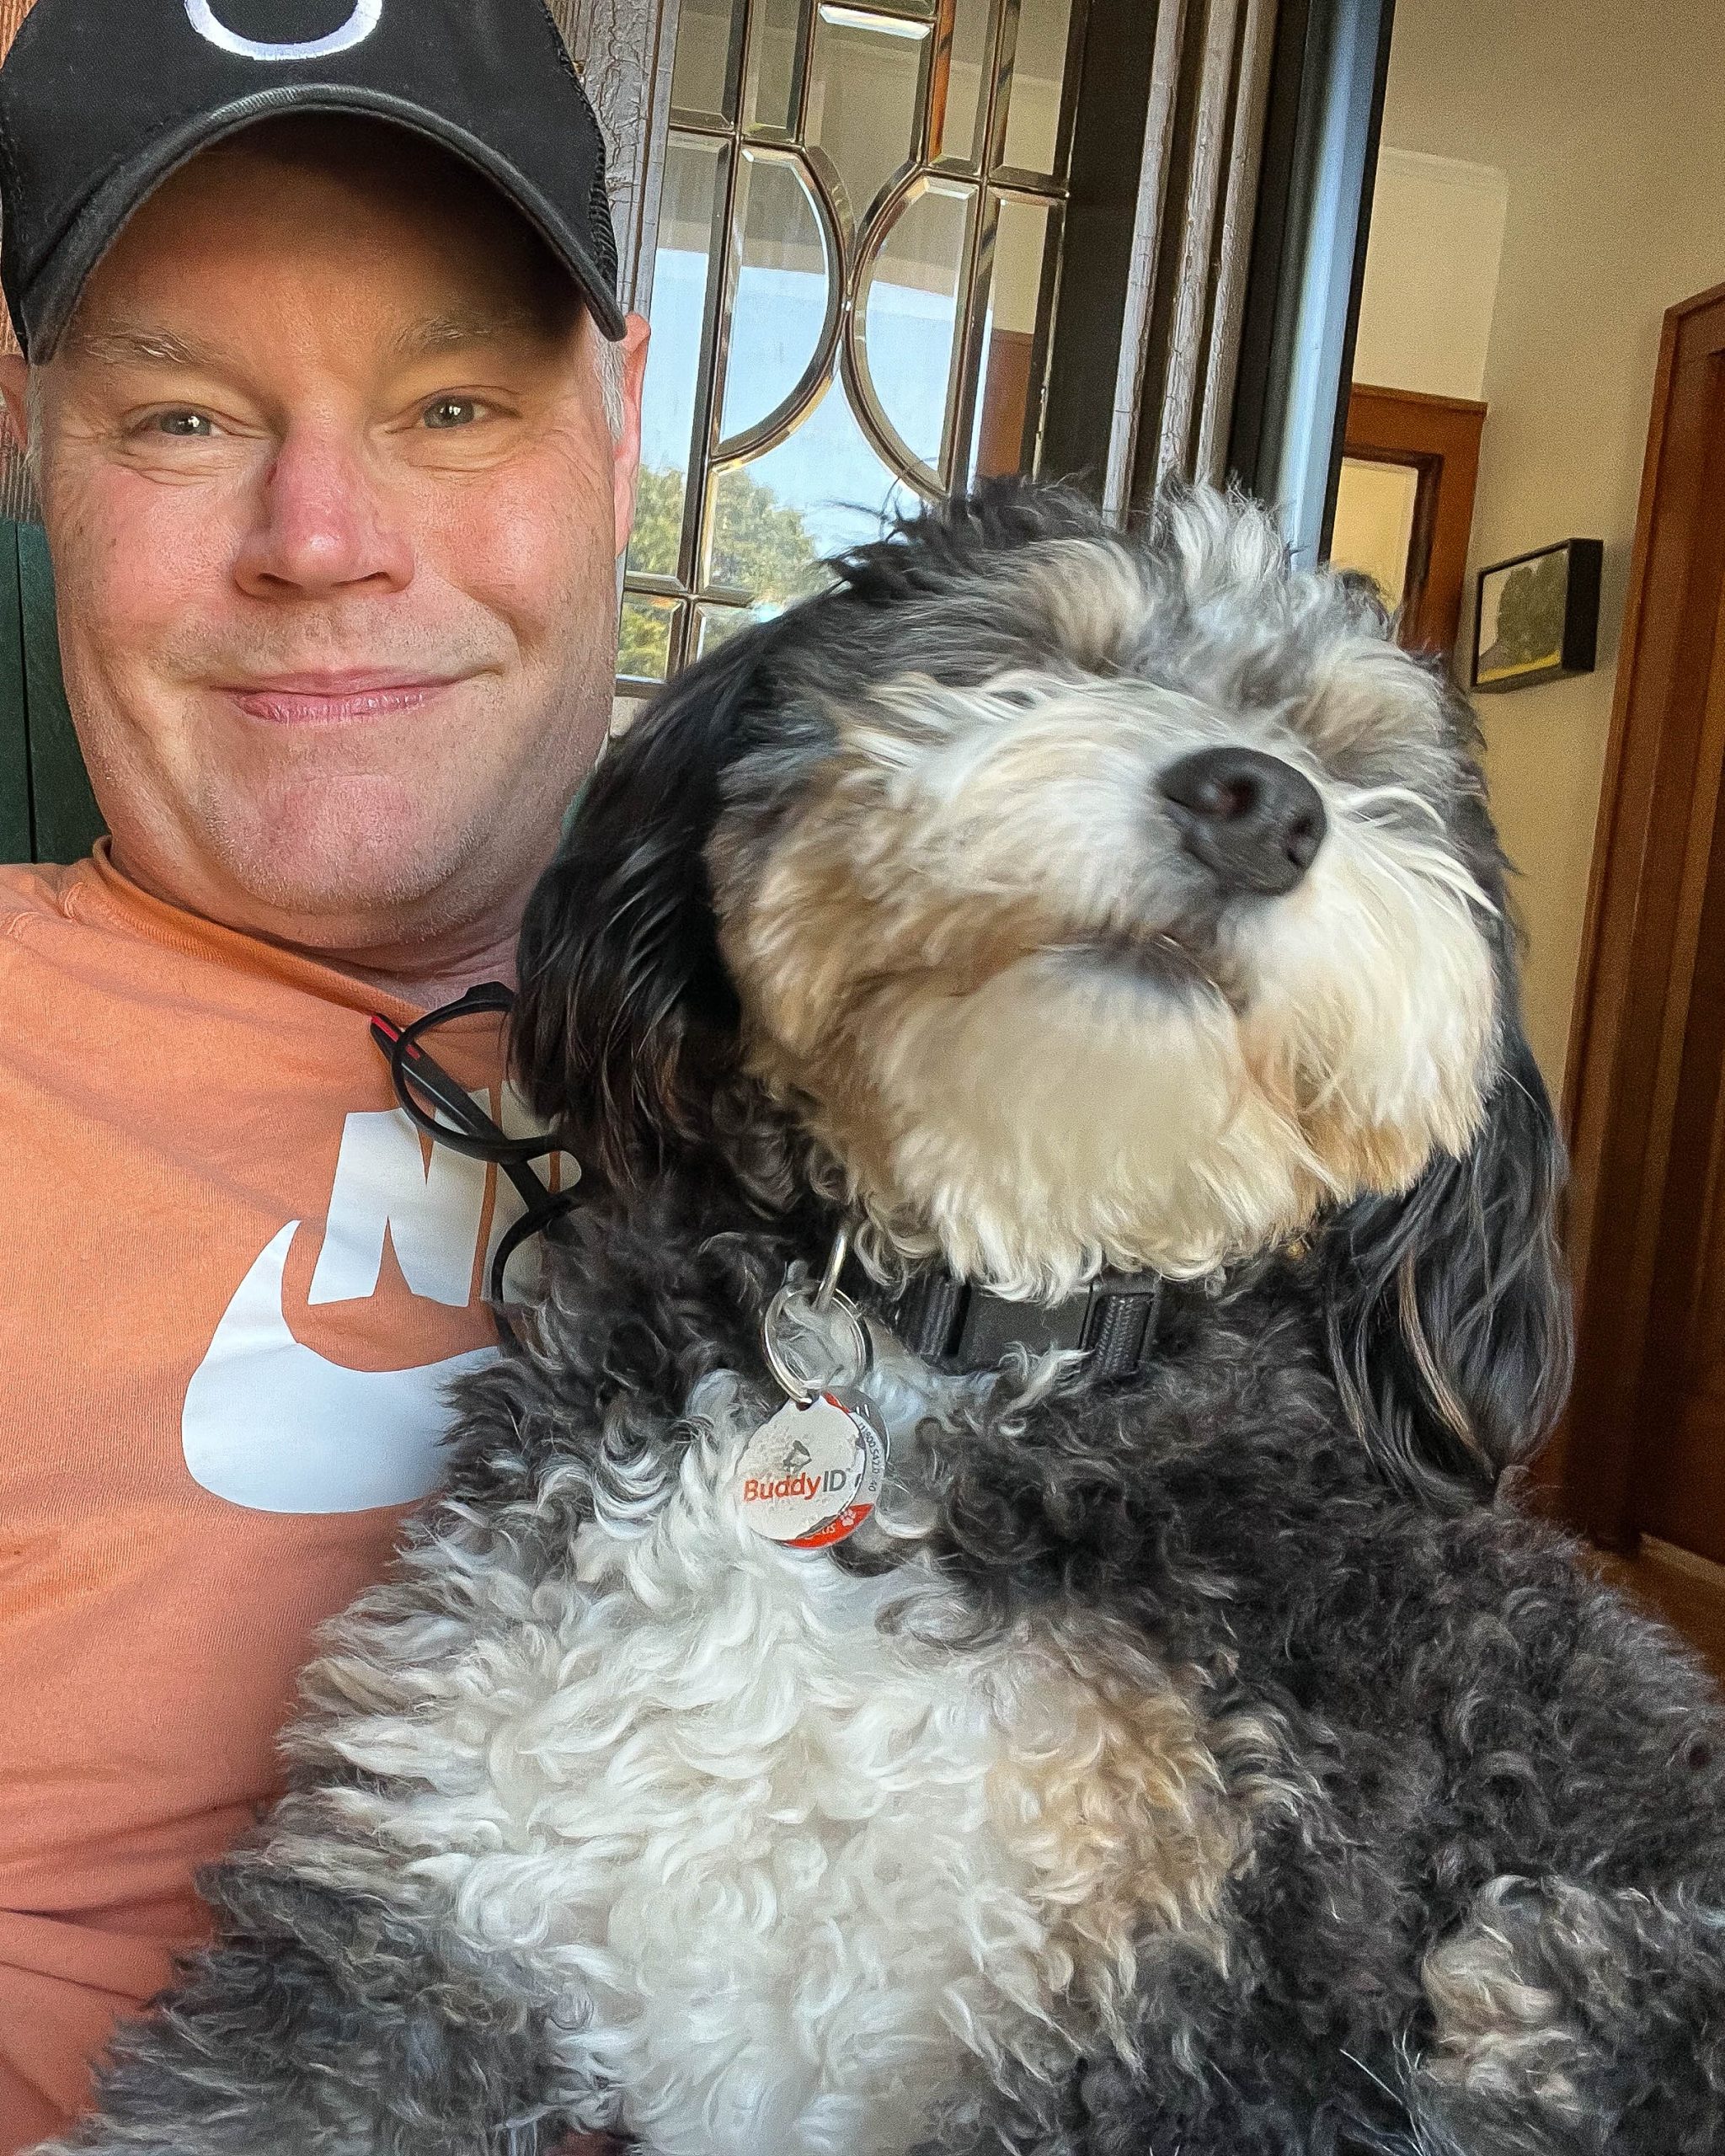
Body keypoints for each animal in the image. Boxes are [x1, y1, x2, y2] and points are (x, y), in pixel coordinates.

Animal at [48, 484, 1725, 2156]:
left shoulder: (1210, 2036)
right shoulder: (432, 1892)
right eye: (1043, 647)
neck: (961, 1337)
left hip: (1559, 1971)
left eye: (1359, 764)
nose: (1260, 803)